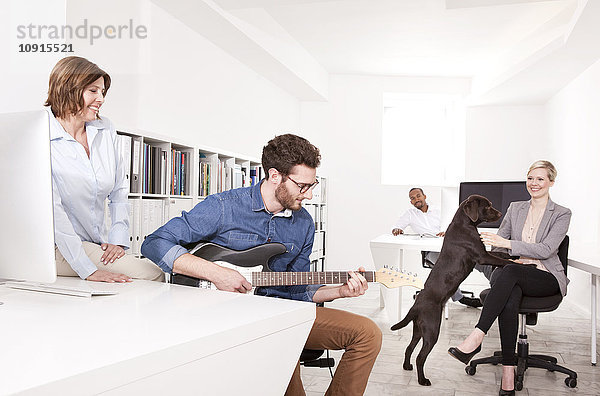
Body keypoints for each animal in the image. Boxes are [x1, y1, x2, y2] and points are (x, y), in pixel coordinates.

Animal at [392, 195, 512, 386]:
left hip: (418, 330)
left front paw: (513, 254)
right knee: (420, 357)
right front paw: (525, 263)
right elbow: (504, 261)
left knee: (409, 348)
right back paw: (422, 380)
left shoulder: (484, 255)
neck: (464, 224)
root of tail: (415, 307)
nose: (501, 213)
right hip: (432, 330)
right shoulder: (481, 256)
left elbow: (501, 256)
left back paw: (406, 366)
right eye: (487, 206)